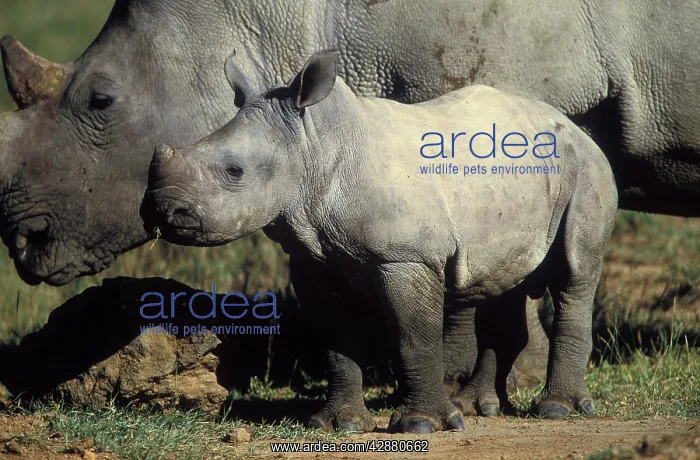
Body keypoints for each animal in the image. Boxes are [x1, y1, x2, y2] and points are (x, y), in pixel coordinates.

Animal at [140, 50, 618, 433]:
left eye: (234, 171)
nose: (162, 209)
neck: (313, 146)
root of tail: (578, 129)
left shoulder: (406, 257)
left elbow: (413, 336)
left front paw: (424, 424)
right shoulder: (314, 260)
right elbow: (335, 339)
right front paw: (338, 425)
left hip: (586, 169)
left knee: (575, 272)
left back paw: (557, 410)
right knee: (503, 282)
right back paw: (476, 406)